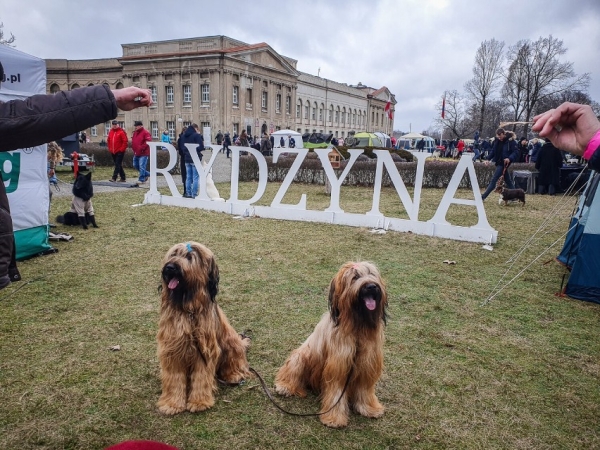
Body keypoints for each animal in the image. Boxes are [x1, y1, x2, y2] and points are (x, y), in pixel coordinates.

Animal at [156, 243, 250, 414]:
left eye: (189, 257)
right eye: (173, 254)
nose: (170, 267)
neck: (188, 310)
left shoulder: (206, 350)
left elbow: (202, 376)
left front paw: (199, 402)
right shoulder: (172, 348)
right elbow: (174, 377)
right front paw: (172, 404)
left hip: (231, 342)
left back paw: (234, 375)